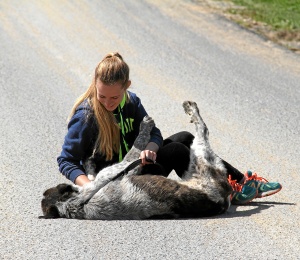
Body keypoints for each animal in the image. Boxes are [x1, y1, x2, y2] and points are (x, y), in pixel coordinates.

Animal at [39, 101, 232, 219]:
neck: (74, 204)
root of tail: (224, 196)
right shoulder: (122, 167)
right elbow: (136, 147)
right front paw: (145, 127)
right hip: (200, 155)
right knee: (202, 129)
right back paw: (191, 109)